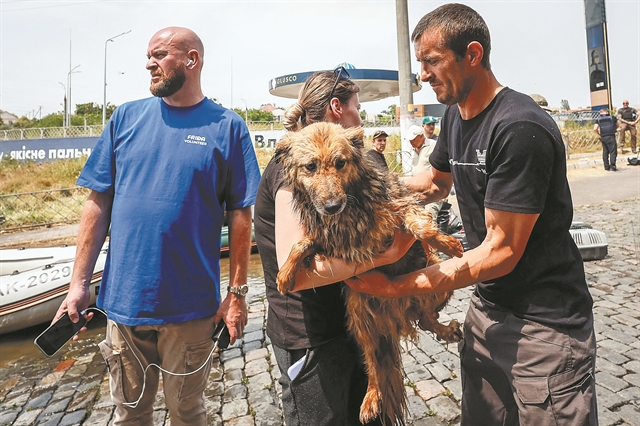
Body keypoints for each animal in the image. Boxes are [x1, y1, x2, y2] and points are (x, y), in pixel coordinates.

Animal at [276, 121, 464, 424]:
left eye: (340, 163)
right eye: (310, 166)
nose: (332, 206)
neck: (350, 208)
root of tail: (398, 314)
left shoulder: (400, 206)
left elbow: (419, 227)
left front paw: (446, 242)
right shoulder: (328, 239)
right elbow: (301, 243)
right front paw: (285, 273)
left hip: (437, 278)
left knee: (426, 318)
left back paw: (448, 330)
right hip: (359, 316)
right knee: (373, 362)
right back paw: (371, 399)